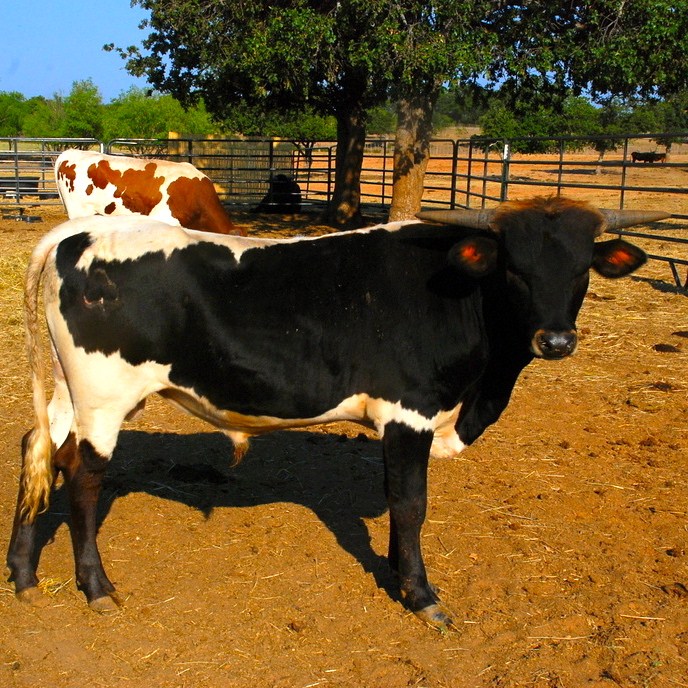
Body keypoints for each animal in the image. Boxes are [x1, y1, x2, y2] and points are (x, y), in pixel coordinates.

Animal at [7, 196, 667, 628]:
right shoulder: (409, 412)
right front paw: (419, 593)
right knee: (83, 477)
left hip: (67, 393)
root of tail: (79, 231)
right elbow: (410, 501)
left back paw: (22, 573)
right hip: (103, 398)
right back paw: (95, 586)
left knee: (39, 451)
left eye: (581, 270)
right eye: (515, 269)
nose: (555, 341)